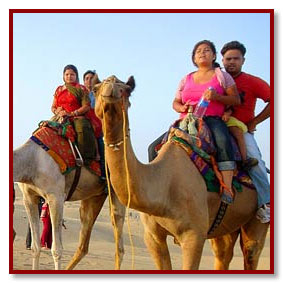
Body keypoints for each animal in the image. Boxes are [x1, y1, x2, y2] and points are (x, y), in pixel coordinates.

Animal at [12, 140, 125, 270]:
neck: (32, 161)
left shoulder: (56, 196)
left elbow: (56, 250)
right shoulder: (29, 198)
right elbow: (35, 248)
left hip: (118, 189)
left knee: (119, 243)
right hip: (95, 196)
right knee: (83, 244)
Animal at [93, 75, 270, 270]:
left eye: (127, 90)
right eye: (95, 88)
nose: (110, 88)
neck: (163, 188)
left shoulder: (194, 235)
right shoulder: (152, 237)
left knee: (251, 251)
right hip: (225, 226)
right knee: (223, 253)